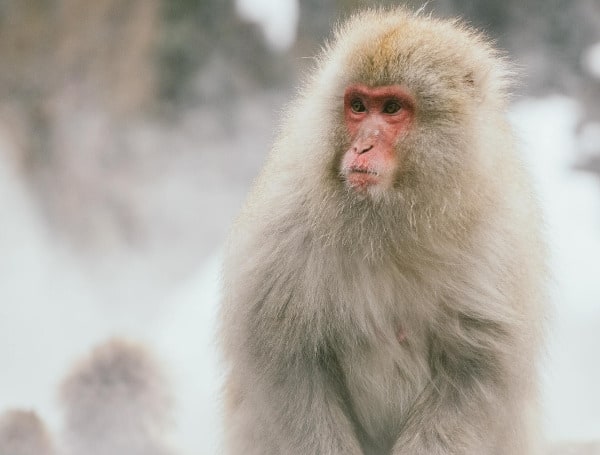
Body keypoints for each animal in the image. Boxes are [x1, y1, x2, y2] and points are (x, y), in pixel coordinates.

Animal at [220, 7, 548, 455]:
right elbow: (285, 359)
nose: (361, 147)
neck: (389, 221)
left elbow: (477, 366)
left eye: (392, 107)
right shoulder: (285, 221)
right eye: (358, 106)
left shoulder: (499, 235)